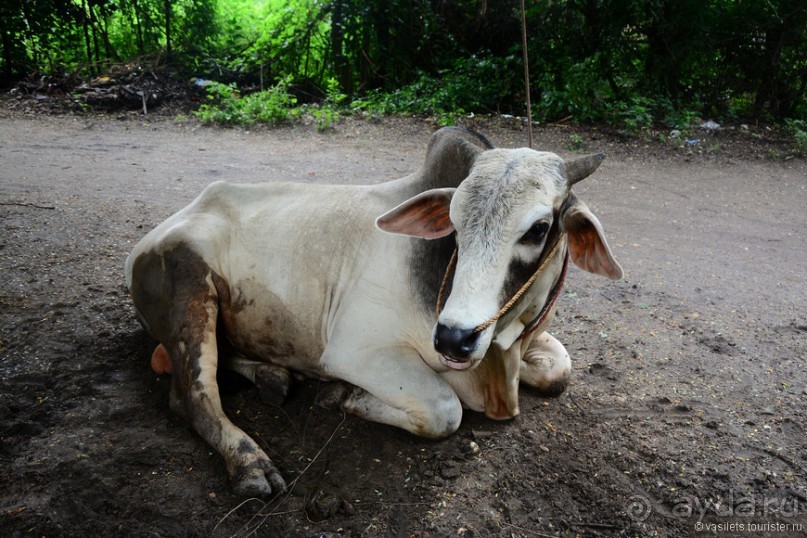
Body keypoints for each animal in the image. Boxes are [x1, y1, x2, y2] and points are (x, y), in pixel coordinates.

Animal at [124, 125, 624, 494]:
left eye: (538, 228)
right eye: (454, 224)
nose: (453, 338)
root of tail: (155, 235)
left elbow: (560, 370)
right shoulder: (354, 352)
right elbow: (446, 410)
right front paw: (344, 395)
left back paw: (275, 376)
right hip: (191, 291)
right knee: (192, 396)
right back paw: (251, 463)